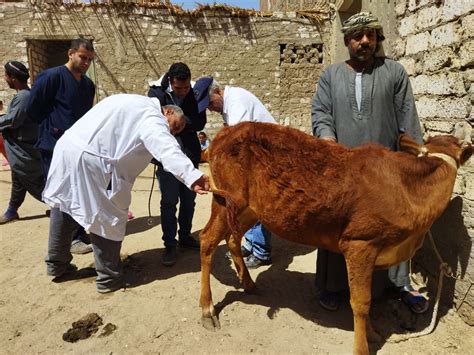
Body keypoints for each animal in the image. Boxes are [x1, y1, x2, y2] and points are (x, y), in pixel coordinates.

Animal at [198, 121, 472, 354]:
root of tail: (225, 132)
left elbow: (367, 299)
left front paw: (372, 333)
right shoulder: (360, 243)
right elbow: (361, 302)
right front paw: (362, 347)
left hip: (249, 208)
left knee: (232, 239)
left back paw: (248, 284)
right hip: (225, 198)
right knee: (207, 240)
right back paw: (207, 310)